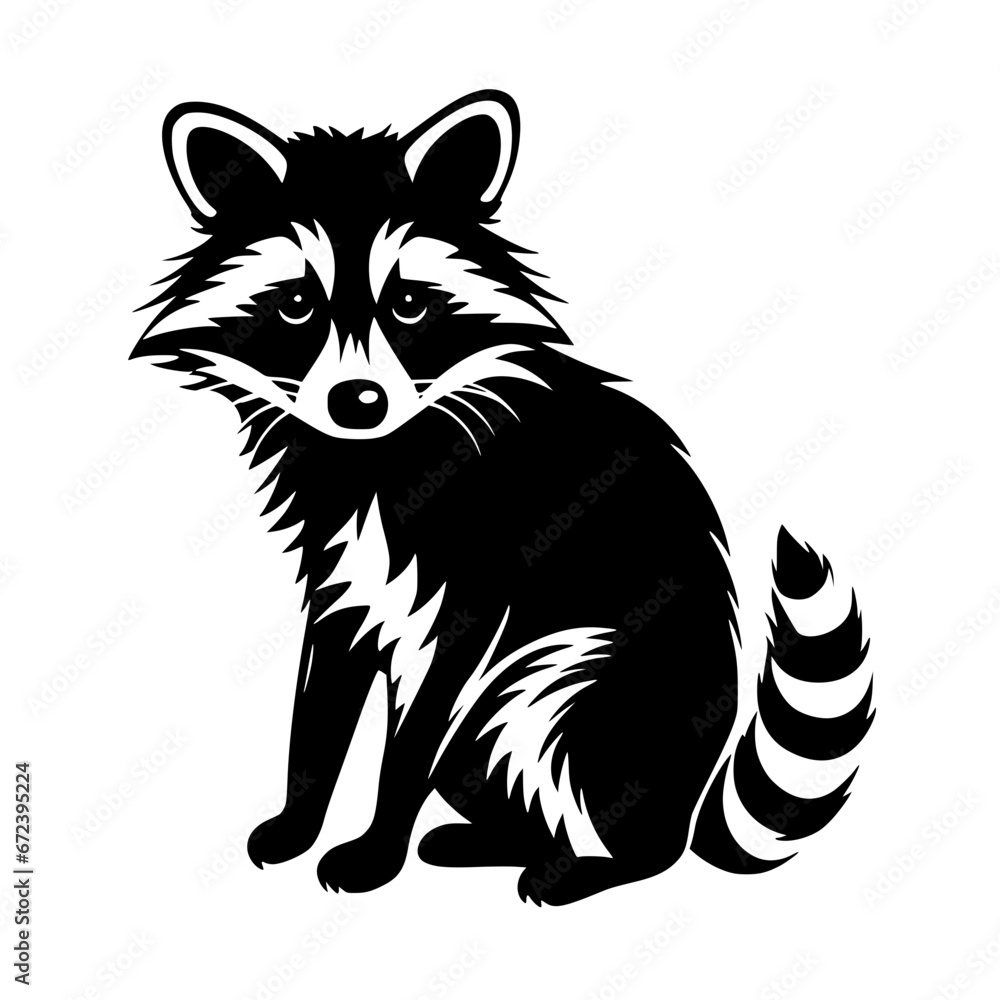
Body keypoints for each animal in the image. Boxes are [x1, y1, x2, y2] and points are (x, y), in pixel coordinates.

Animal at [132, 92, 873, 905]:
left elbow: (414, 733)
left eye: (409, 305)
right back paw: (498, 839)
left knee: (565, 738)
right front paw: (300, 817)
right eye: (297, 305)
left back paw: (593, 863)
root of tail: (689, 795)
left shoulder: (478, 569)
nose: (357, 402)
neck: (379, 452)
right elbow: (321, 702)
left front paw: (376, 846)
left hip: (593, 682)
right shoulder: (341, 565)